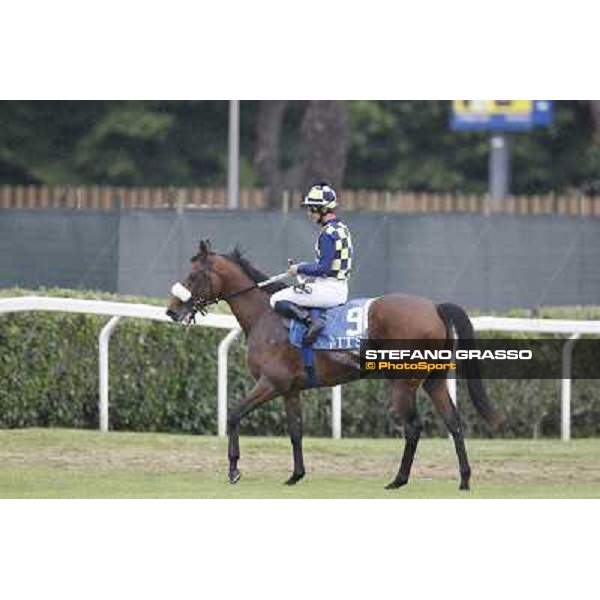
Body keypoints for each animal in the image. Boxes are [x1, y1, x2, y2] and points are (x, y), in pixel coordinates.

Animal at [164, 241, 502, 490]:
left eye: (193, 276)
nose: (171, 311)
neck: (266, 316)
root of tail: (434, 307)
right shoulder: (290, 390)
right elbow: (295, 431)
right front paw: (296, 475)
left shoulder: (270, 383)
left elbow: (234, 415)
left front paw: (234, 469)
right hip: (434, 380)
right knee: (454, 423)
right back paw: (464, 479)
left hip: (403, 383)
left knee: (413, 427)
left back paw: (398, 479)